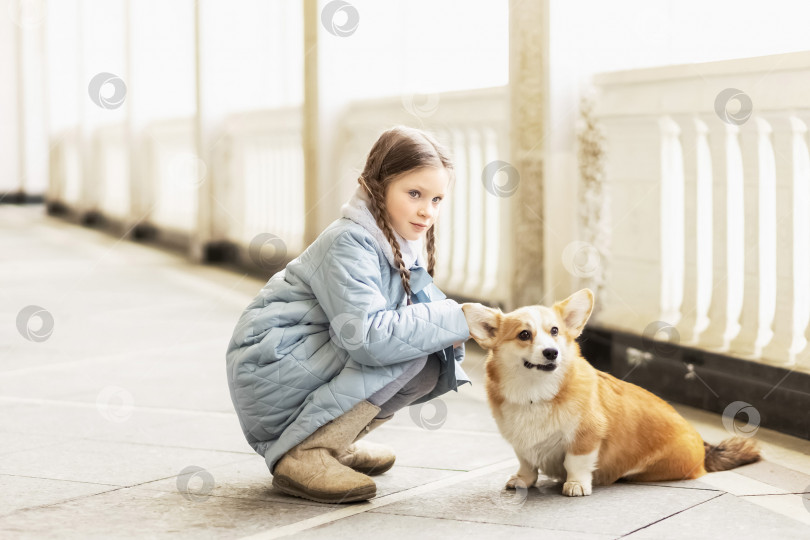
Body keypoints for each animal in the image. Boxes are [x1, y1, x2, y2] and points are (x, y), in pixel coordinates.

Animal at [460, 288, 756, 496]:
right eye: (524, 335)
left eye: (555, 331)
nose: (552, 352)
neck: (535, 392)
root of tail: (702, 446)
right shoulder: (521, 443)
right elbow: (526, 464)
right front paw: (523, 480)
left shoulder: (586, 436)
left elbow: (575, 463)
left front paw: (576, 485)